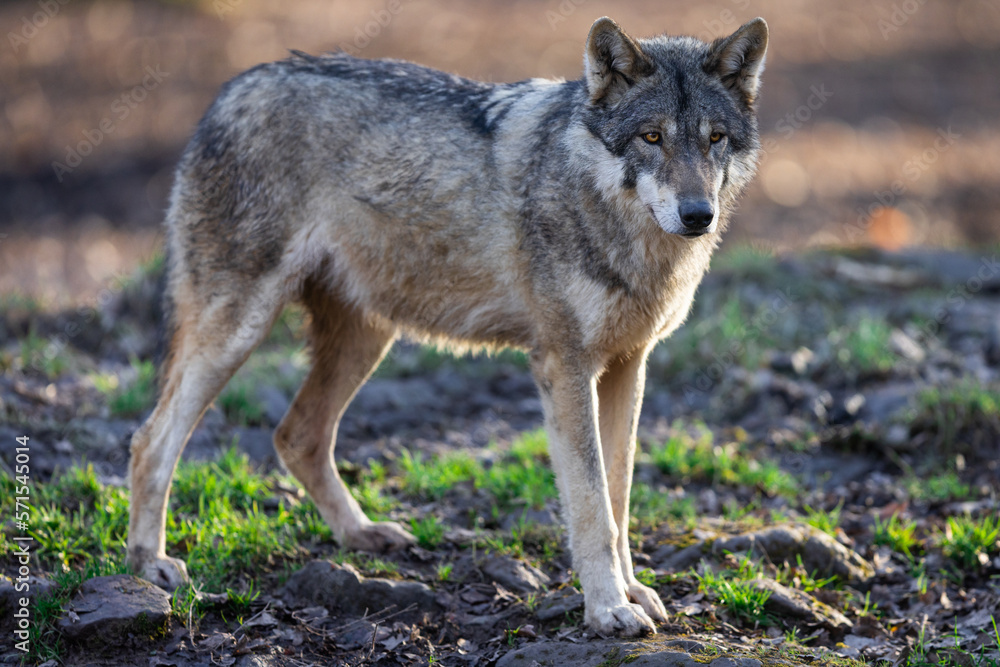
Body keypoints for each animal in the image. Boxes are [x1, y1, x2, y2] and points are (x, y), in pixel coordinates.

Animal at [129, 15, 768, 640]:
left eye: (715, 138)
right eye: (651, 137)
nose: (697, 215)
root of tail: (232, 89)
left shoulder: (627, 365)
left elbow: (619, 498)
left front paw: (631, 591)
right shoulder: (565, 367)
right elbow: (592, 507)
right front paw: (608, 609)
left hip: (366, 340)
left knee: (296, 435)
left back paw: (361, 534)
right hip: (239, 331)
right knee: (151, 439)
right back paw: (150, 563)